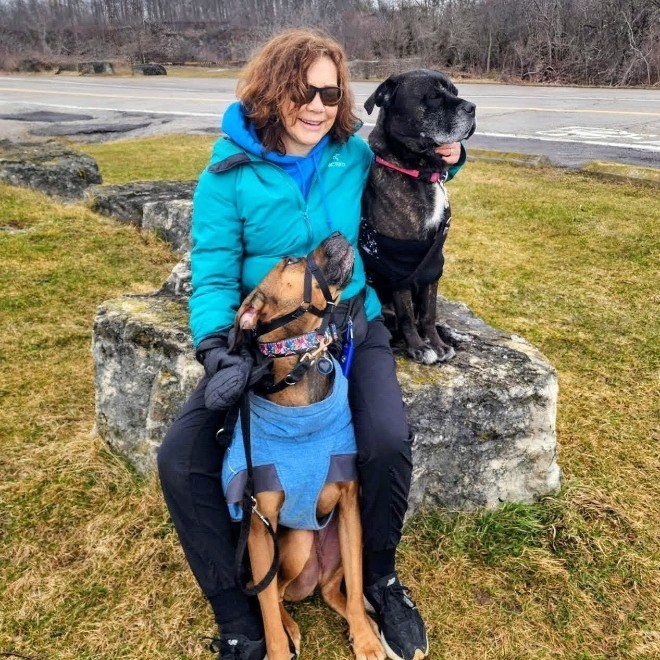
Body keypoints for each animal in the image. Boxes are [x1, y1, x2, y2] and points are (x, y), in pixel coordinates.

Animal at [221, 233, 385, 660]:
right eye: (291, 260)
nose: (337, 235)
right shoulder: (259, 526)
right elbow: (264, 606)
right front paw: (278, 649)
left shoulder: (349, 506)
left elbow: (357, 584)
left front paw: (364, 639)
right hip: (294, 545)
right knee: (276, 593)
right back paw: (292, 627)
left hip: (337, 548)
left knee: (333, 592)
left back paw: (364, 622)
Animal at [360, 69, 476, 365]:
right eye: (433, 96)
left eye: (455, 92)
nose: (472, 107)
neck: (421, 172)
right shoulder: (398, 264)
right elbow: (407, 314)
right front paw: (420, 347)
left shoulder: (432, 264)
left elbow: (428, 312)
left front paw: (437, 342)